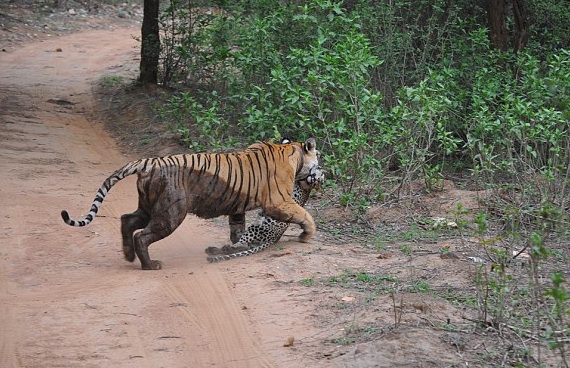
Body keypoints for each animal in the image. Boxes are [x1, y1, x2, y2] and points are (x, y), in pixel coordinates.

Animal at [63, 138, 320, 270]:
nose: (321, 173)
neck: (292, 150)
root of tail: (149, 163)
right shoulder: (278, 201)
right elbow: (304, 214)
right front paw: (307, 235)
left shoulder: (237, 208)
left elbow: (238, 230)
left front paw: (234, 247)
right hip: (170, 213)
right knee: (142, 236)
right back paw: (149, 265)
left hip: (149, 208)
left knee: (127, 220)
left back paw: (128, 256)